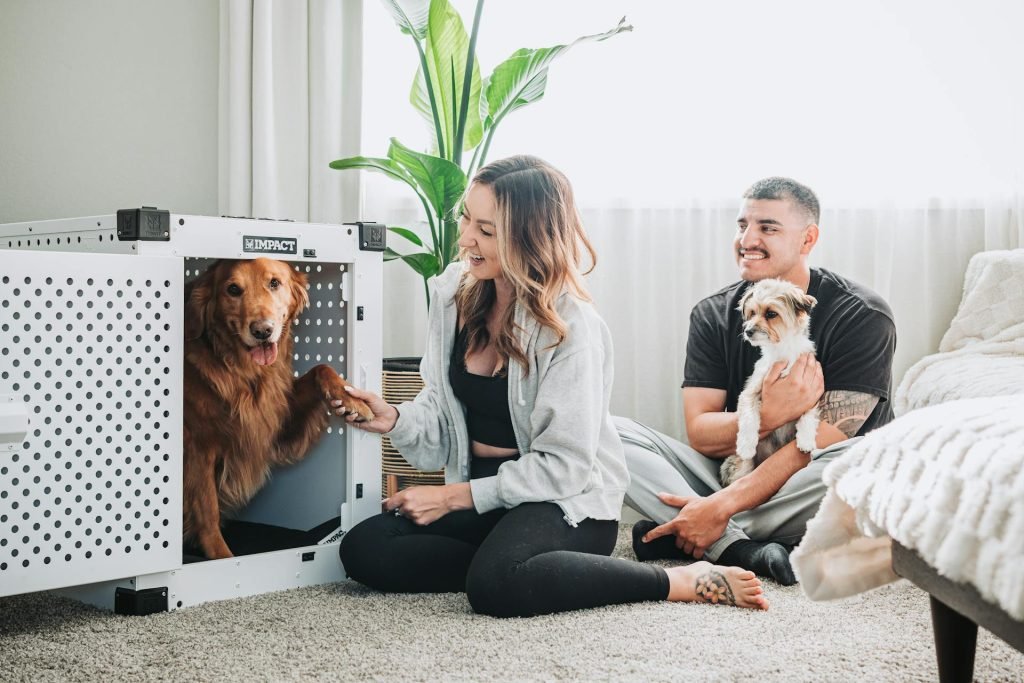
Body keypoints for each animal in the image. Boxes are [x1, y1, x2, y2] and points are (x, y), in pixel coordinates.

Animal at [720, 278, 823, 485]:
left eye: (771, 314)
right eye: (751, 313)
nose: (748, 331)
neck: (783, 350)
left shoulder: (813, 390)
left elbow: (809, 414)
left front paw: (806, 439)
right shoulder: (750, 392)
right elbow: (749, 417)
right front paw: (746, 444)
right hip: (742, 467)